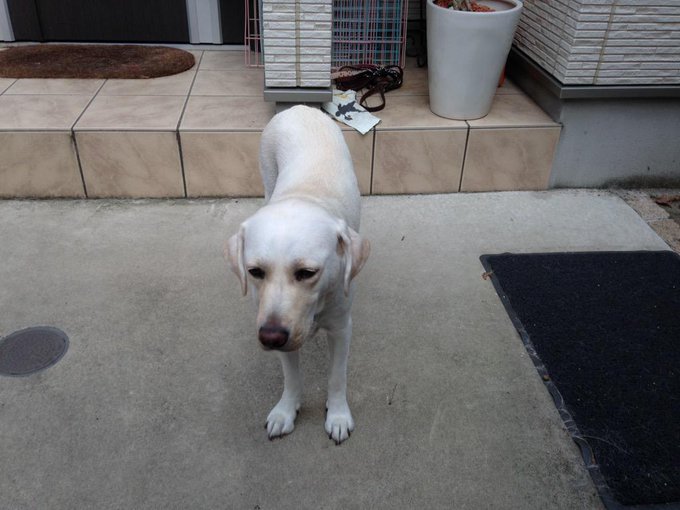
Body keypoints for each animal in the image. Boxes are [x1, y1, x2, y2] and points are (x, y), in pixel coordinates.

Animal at [225, 105, 370, 444]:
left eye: (306, 272)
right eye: (255, 272)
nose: (270, 337)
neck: (306, 196)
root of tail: (299, 107)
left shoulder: (341, 327)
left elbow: (337, 377)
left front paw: (338, 415)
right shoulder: (274, 326)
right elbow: (291, 377)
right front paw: (286, 411)